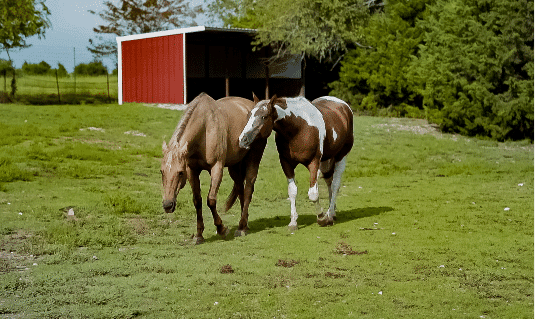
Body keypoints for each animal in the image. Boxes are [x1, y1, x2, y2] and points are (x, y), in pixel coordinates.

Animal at [159, 92, 268, 245]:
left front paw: (222, 229)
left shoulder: (217, 167)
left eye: (180, 173)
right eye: (162, 172)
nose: (168, 205)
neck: (205, 128)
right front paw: (199, 235)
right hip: (235, 165)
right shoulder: (192, 170)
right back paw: (243, 223)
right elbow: (197, 201)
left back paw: (242, 228)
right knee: (240, 188)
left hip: (254, 158)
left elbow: (211, 200)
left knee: (248, 188)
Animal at [241, 94, 354, 230]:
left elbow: (313, 194)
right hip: (326, 160)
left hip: (340, 157)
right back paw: (332, 213)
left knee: (335, 185)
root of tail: (344, 106)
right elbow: (292, 191)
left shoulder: (314, 163)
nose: (243, 140)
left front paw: (322, 218)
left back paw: (330, 215)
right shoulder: (286, 163)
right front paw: (293, 222)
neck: (299, 128)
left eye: (264, 116)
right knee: (329, 182)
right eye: (248, 115)